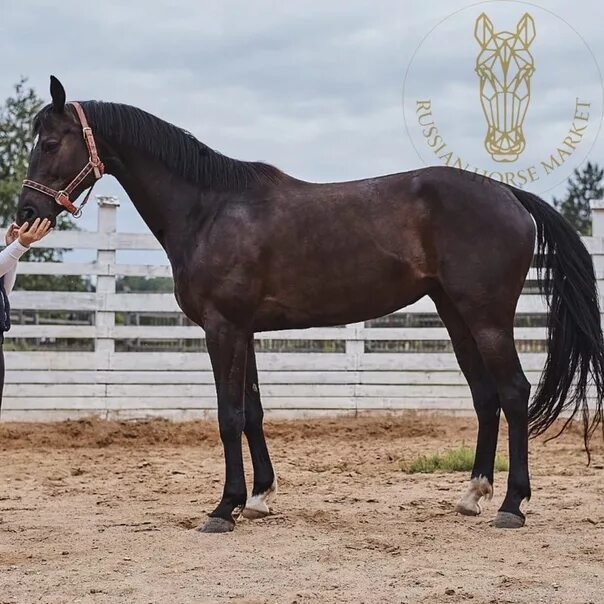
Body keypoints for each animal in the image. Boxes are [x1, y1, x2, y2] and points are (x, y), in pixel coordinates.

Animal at [15, 76, 604, 532]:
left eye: (51, 141)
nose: (25, 214)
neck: (210, 209)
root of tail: (510, 196)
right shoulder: (243, 331)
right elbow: (252, 412)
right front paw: (258, 498)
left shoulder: (221, 329)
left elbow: (228, 415)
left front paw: (224, 508)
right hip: (456, 317)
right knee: (485, 397)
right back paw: (472, 495)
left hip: (487, 319)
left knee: (514, 393)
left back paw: (511, 505)